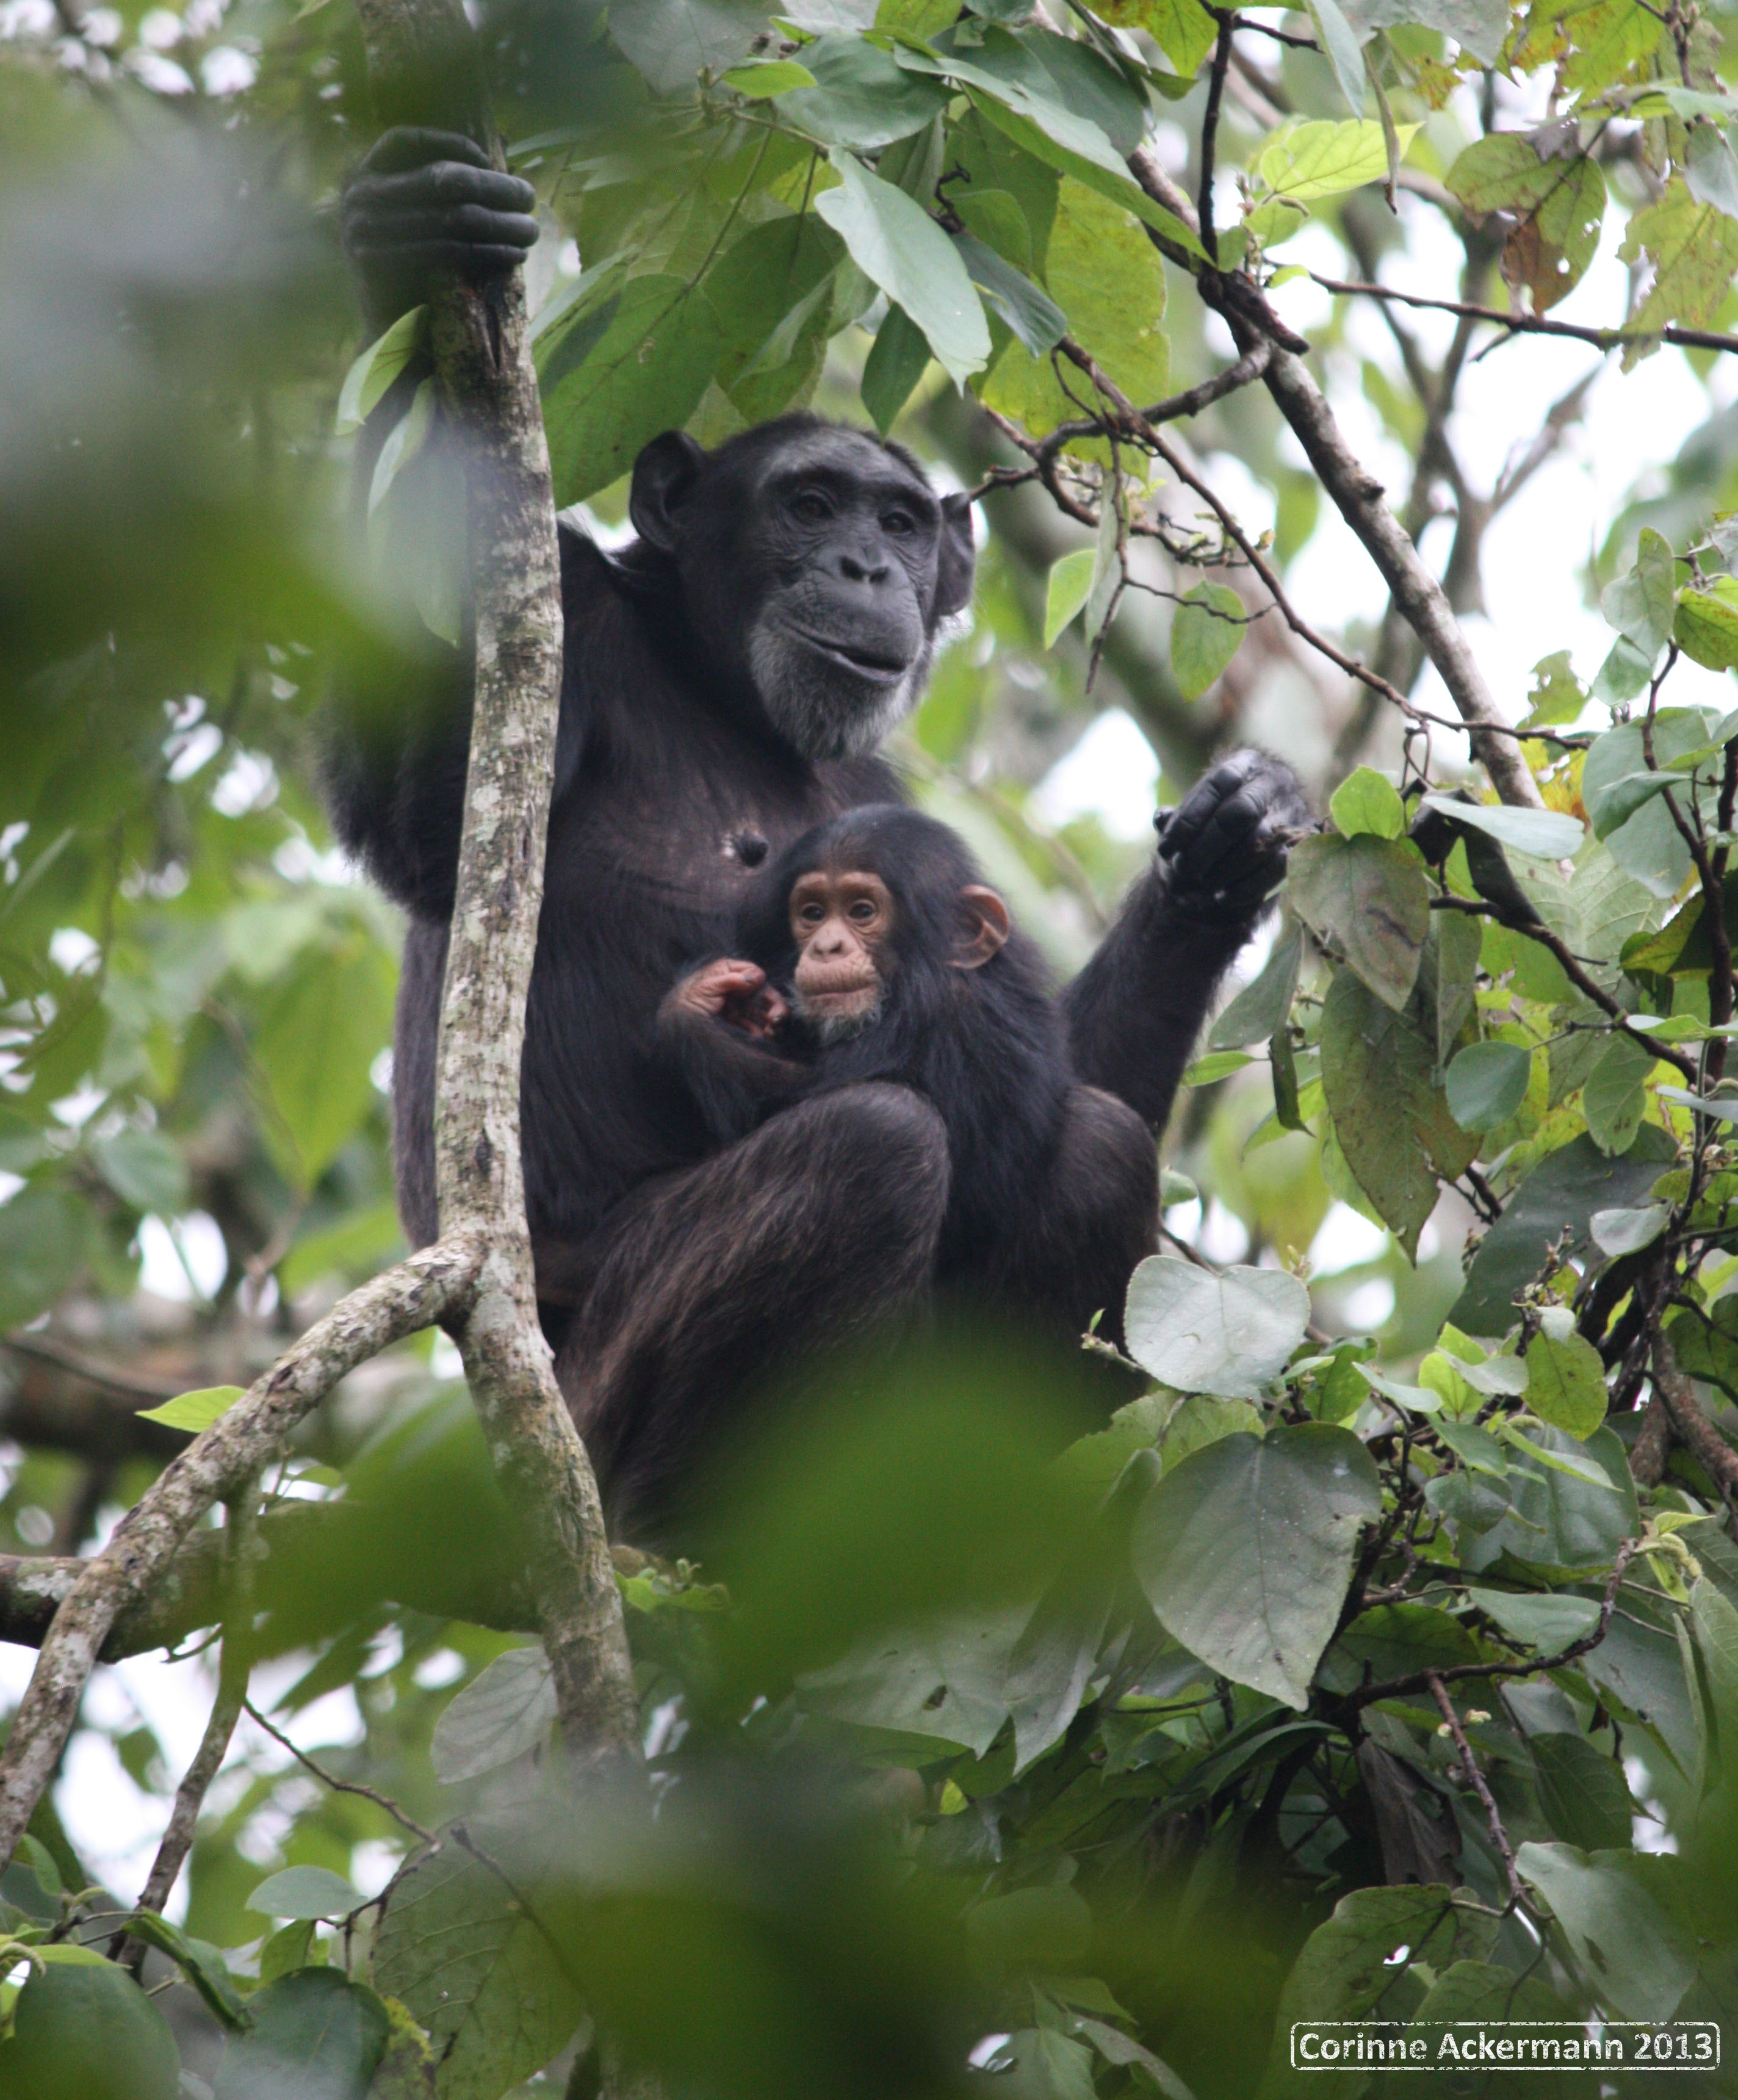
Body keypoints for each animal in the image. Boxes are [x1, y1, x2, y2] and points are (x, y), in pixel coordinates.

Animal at [325, 131, 1310, 1545]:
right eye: (806, 502)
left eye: (896, 520)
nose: (861, 566)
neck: (711, 678)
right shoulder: (560, 627)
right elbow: (426, 808)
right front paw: (407, 248)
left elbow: (1057, 1067)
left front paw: (1226, 840)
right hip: (587, 1418)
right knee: (871, 1150)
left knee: (1093, 1146)